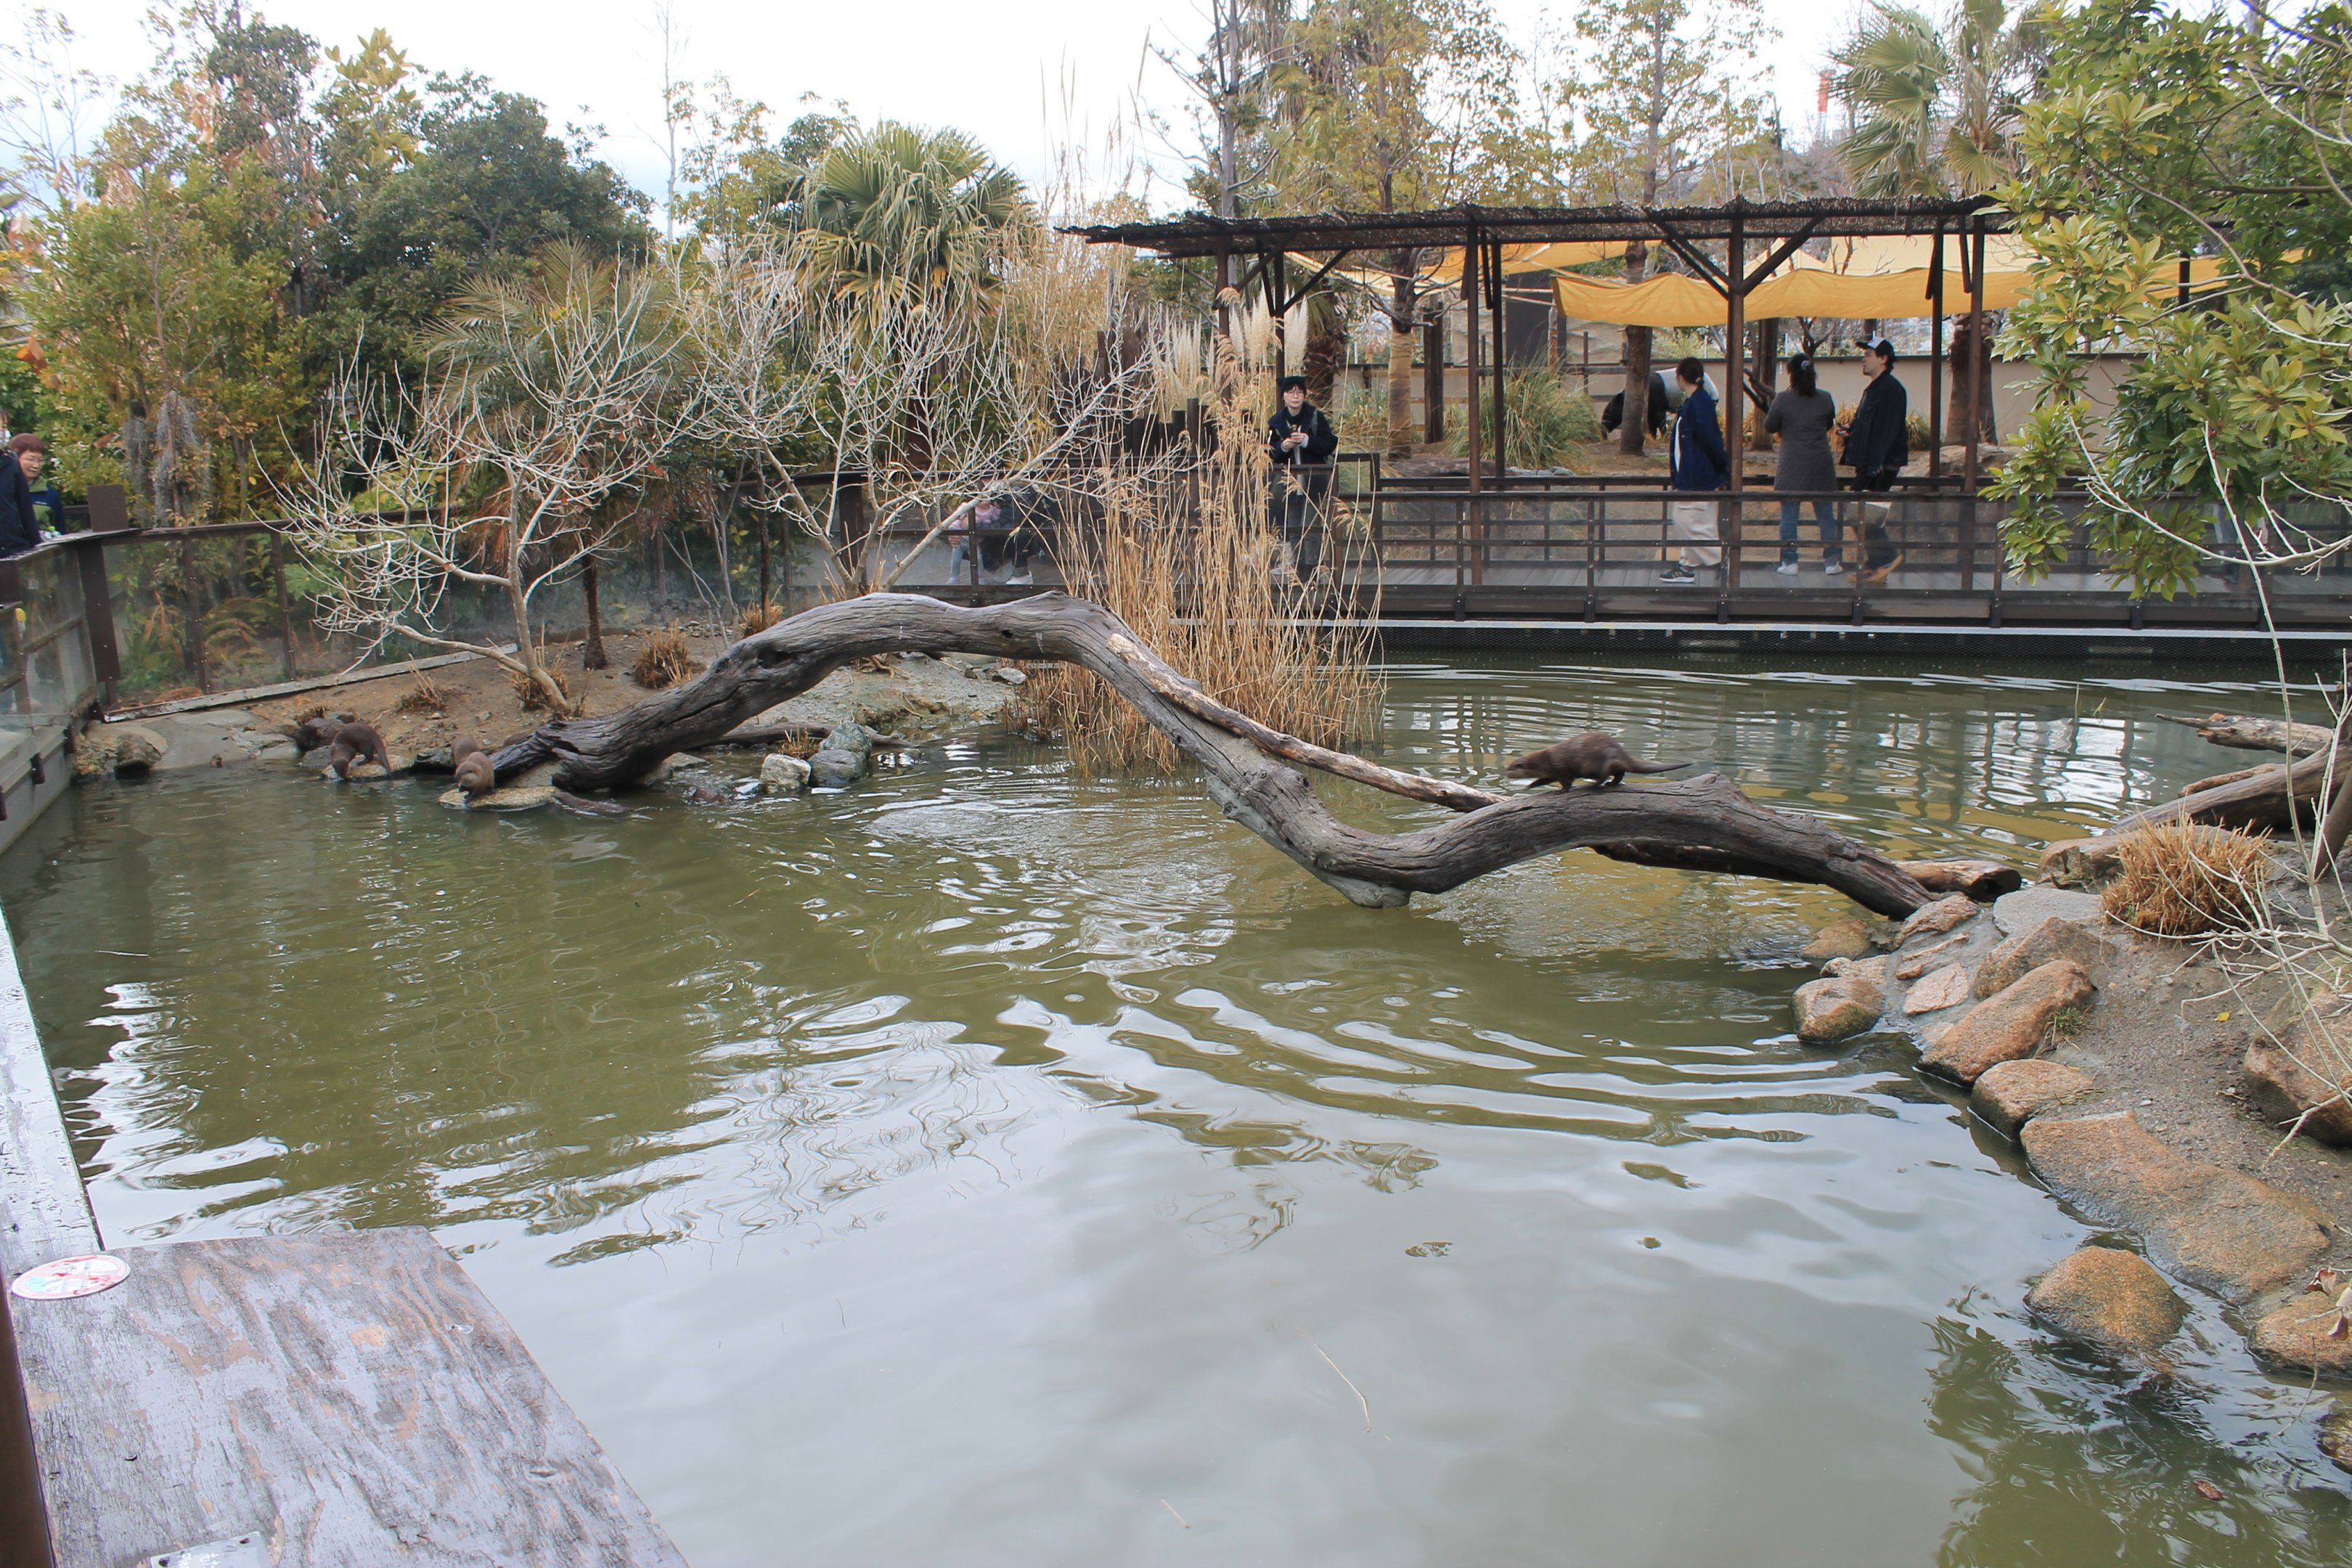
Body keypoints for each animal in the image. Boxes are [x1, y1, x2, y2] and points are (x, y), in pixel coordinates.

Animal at [1504, 731, 1692, 789]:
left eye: (1512, 767)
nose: (1506, 773)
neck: (1544, 761)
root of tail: (1621, 752)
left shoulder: (1559, 767)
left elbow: (1567, 782)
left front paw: (1561, 791)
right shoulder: (1551, 773)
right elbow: (1542, 780)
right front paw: (1529, 786)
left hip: (1597, 763)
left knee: (1608, 773)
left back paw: (1593, 785)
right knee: (1620, 773)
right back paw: (1612, 784)